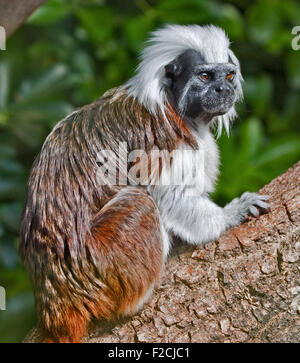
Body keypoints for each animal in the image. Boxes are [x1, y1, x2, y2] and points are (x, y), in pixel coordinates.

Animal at [21, 24, 270, 342]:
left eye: (228, 76)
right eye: (204, 76)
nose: (224, 90)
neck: (173, 104)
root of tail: (58, 302)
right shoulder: (167, 140)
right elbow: (172, 198)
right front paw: (232, 214)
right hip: (102, 264)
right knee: (141, 202)